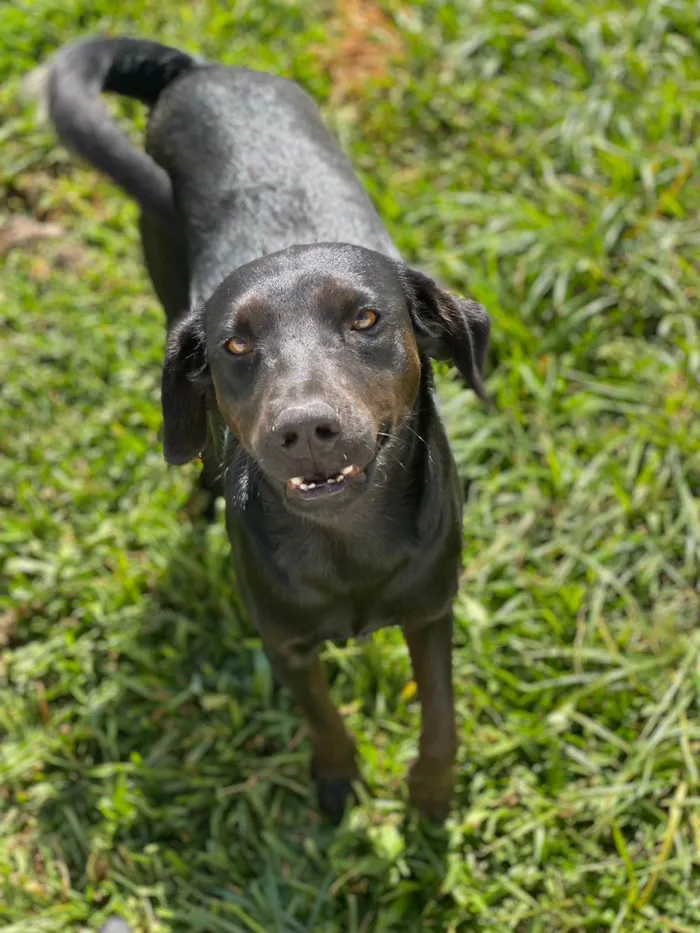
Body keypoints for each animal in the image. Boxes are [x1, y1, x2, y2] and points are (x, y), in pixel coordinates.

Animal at [39, 36, 486, 824]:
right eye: (235, 345)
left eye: (366, 318)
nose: (304, 429)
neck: (347, 548)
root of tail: (197, 72)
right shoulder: (285, 643)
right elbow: (323, 717)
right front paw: (338, 781)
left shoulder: (433, 613)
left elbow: (441, 716)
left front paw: (431, 795)